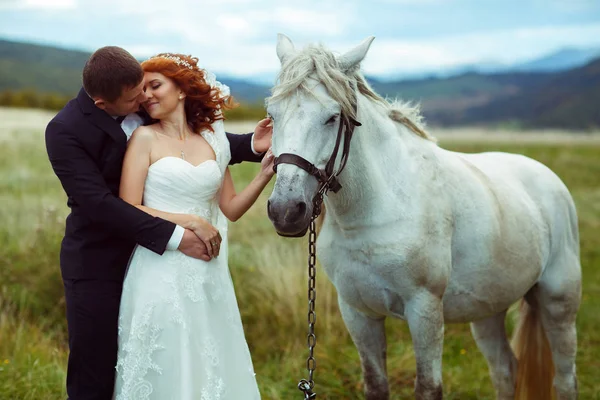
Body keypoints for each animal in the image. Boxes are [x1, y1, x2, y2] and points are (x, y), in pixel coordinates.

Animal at [266, 35, 580, 400]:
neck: (376, 211)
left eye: (332, 117)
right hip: (489, 310)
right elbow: (375, 384)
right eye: (272, 115)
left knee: (565, 379)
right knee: (506, 370)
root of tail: (548, 178)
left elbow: (428, 387)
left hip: (558, 303)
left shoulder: (424, 310)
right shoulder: (358, 312)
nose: (286, 211)